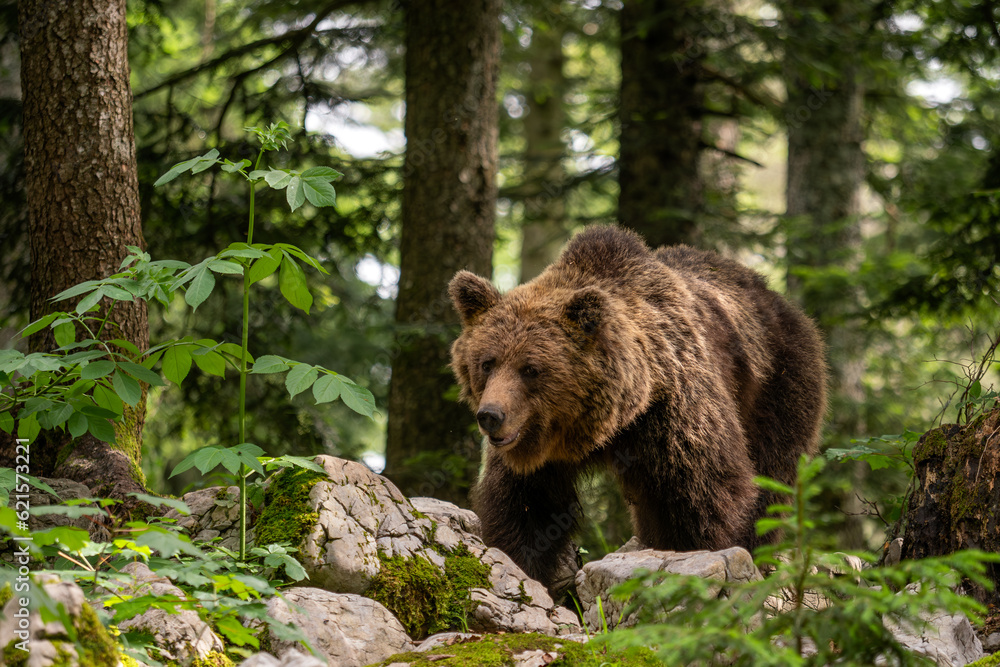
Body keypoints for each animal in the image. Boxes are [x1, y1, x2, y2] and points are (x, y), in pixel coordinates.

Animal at [450, 226, 824, 588]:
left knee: (771, 477)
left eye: (530, 368)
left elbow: (705, 495)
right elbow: (526, 506)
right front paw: (519, 565)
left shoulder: (675, 414)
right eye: (487, 363)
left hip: (779, 383)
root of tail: (773, 294)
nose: (491, 416)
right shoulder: (539, 453)